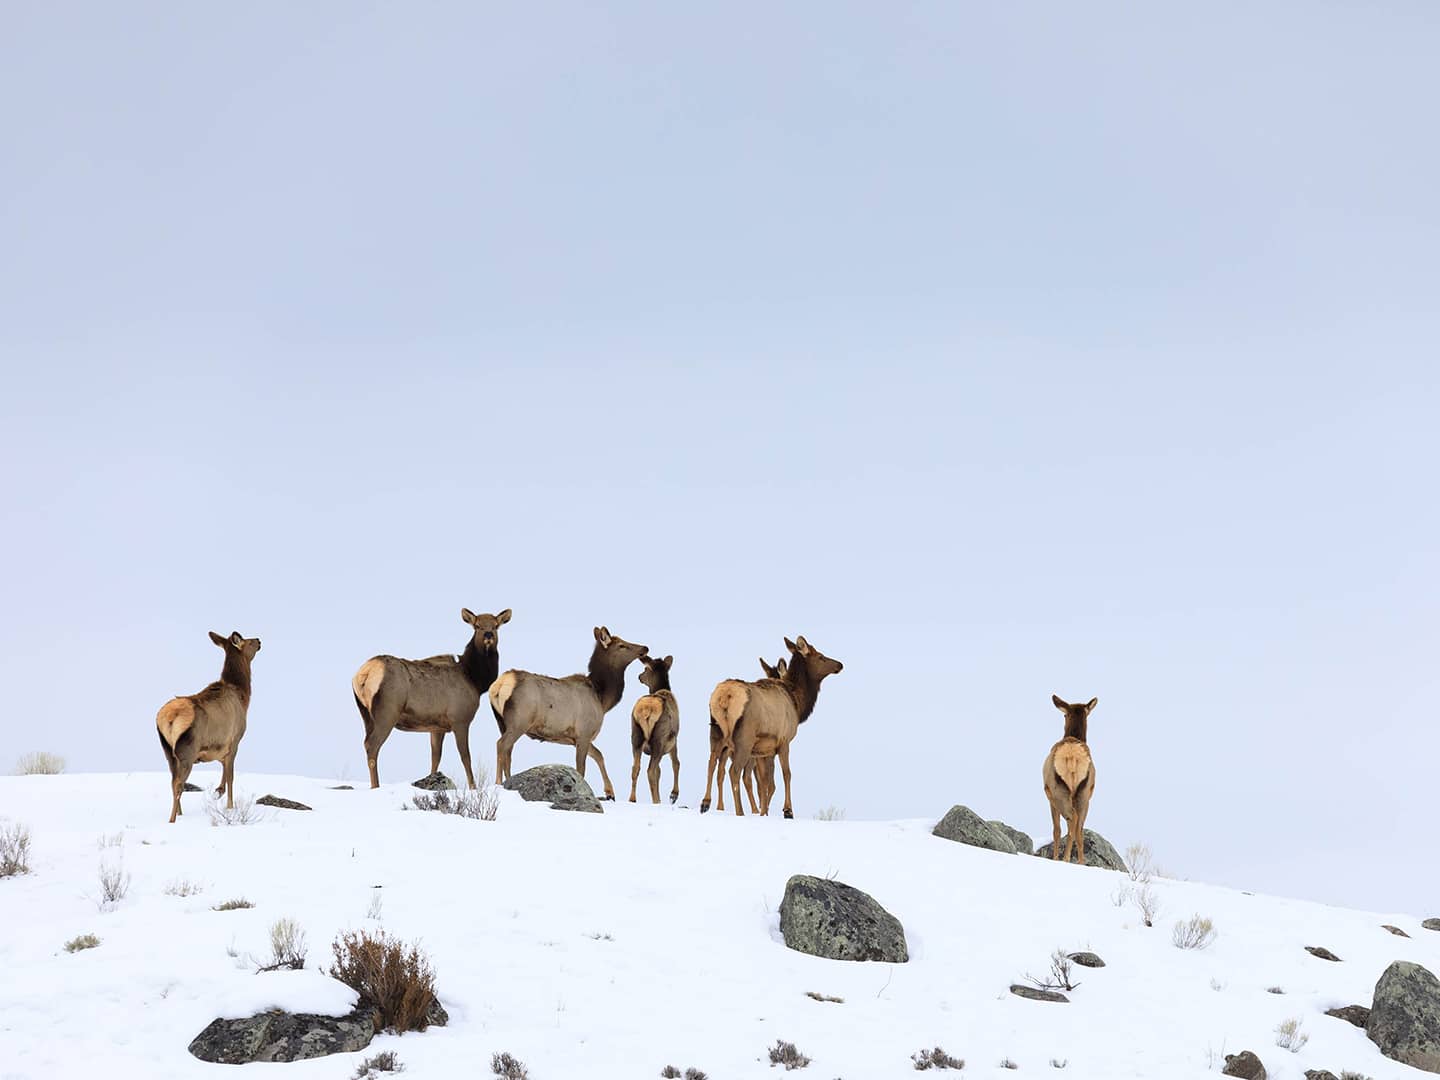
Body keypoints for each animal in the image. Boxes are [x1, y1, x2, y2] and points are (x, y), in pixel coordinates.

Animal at [159, 630, 266, 823]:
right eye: (248, 641)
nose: (259, 640)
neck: (243, 696)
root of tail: (170, 717)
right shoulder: (235, 739)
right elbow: (231, 775)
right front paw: (230, 805)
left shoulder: (219, 746)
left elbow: (223, 767)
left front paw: (218, 791)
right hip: (187, 750)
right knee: (178, 784)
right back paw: (173, 819)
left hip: (168, 752)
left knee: (172, 782)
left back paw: (180, 813)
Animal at [349, 610, 512, 794]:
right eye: (477, 626)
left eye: (496, 625)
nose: (488, 635)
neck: (475, 680)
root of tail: (364, 674)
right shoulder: (460, 719)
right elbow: (465, 756)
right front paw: (473, 787)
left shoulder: (437, 727)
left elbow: (435, 758)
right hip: (387, 711)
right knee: (372, 745)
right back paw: (375, 786)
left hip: (365, 714)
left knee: (366, 743)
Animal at [627, 650, 676, 806]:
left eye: (645, 669)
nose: (639, 676)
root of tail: (647, 710)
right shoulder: (673, 741)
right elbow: (676, 764)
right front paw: (674, 795)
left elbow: (660, 771)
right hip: (659, 738)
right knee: (650, 771)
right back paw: (656, 802)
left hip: (636, 734)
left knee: (636, 768)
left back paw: (632, 799)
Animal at [699, 633, 840, 817]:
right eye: (821, 657)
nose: (840, 665)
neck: (797, 702)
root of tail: (726, 695)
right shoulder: (784, 741)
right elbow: (786, 774)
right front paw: (787, 810)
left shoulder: (763, 749)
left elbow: (766, 782)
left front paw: (763, 812)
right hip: (744, 738)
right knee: (734, 771)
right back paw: (739, 811)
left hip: (716, 733)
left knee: (712, 764)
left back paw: (706, 803)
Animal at [1042, 696, 1094, 869]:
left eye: (1065, 715)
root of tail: (1072, 757)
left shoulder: (1049, 796)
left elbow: (1056, 829)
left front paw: (1055, 857)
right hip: (1084, 793)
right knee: (1079, 826)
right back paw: (1081, 861)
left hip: (1058, 790)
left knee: (1072, 819)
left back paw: (1064, 858)